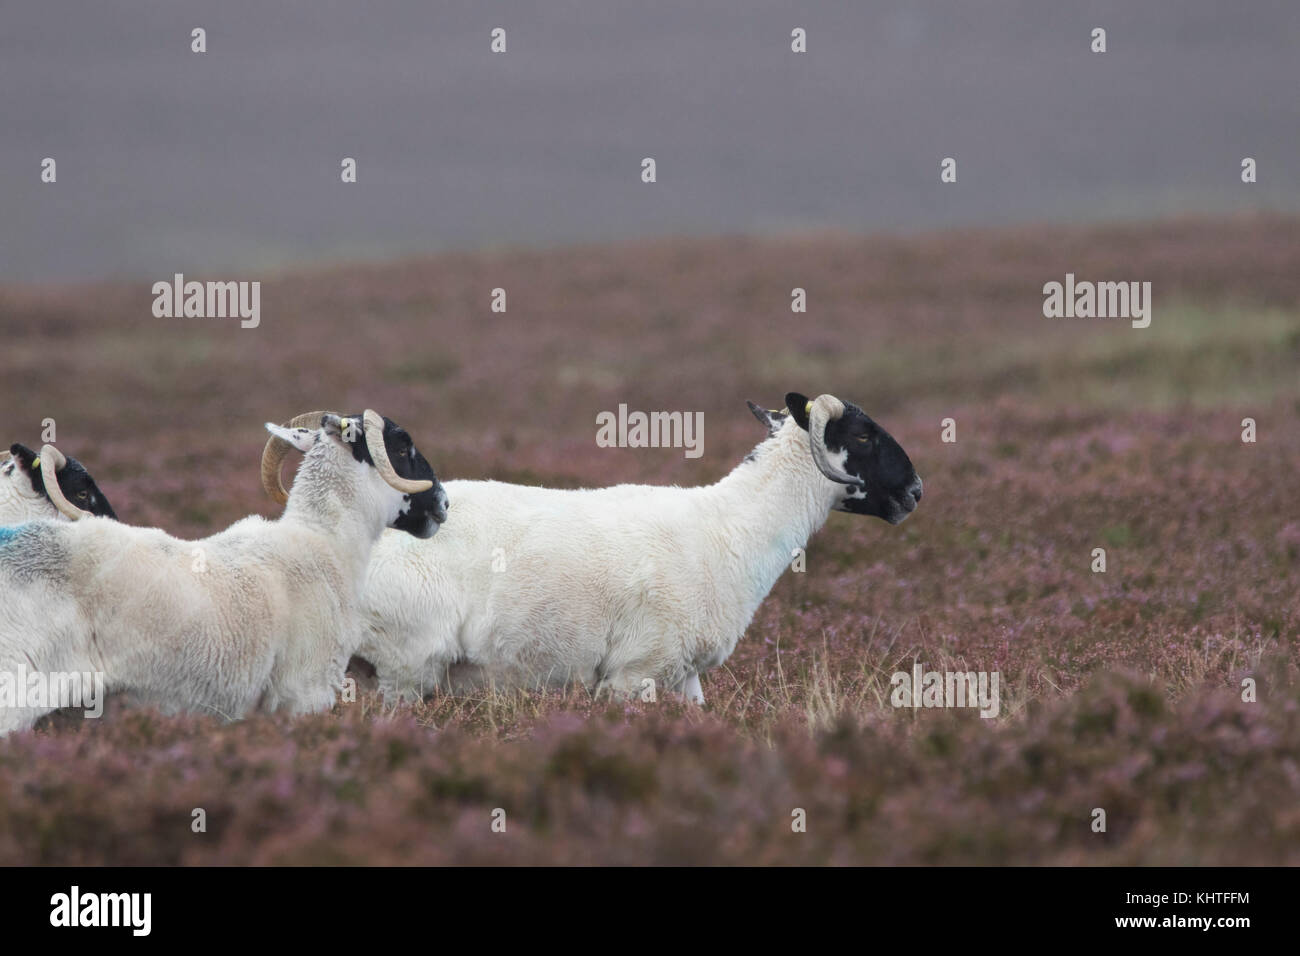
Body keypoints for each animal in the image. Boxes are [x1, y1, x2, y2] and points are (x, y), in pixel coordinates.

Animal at [319, 392, 920, 707]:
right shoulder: (637, 672)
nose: (915, 491)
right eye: (862, 435)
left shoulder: (684, 674)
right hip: (403, 666)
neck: (732, 528)